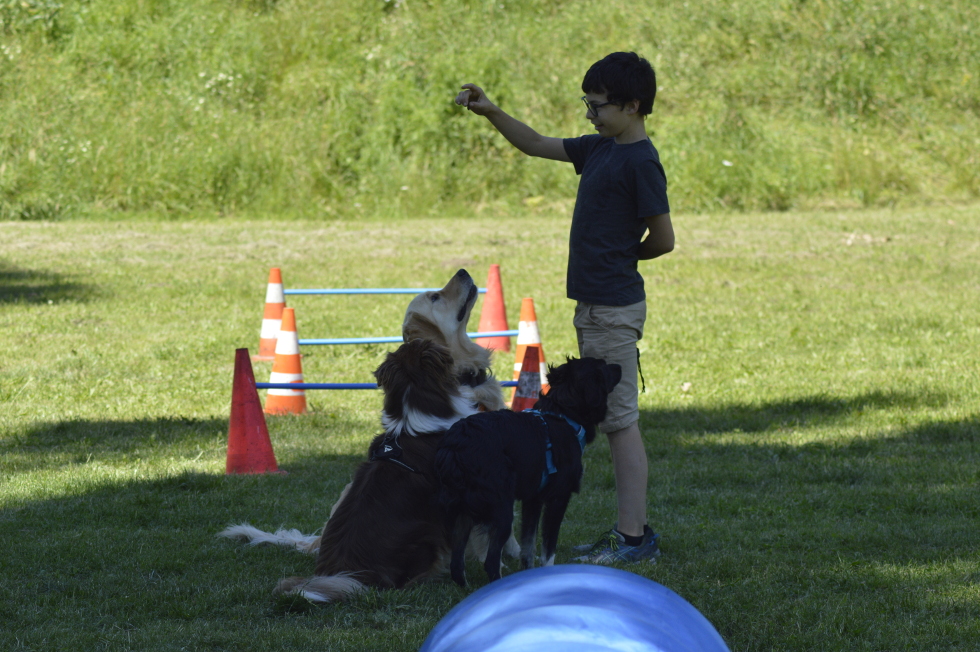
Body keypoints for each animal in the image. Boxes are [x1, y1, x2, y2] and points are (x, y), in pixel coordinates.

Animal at [436, 356, 620, 584]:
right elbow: (548, 549)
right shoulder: (557, 498)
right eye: (603, 366)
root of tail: (455, 447)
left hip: (462, 513)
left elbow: (528, 548)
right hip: (502, 511)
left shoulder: (533, 500)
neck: (563, 416)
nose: (620, 366)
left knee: (456, 564)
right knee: (490, 561)